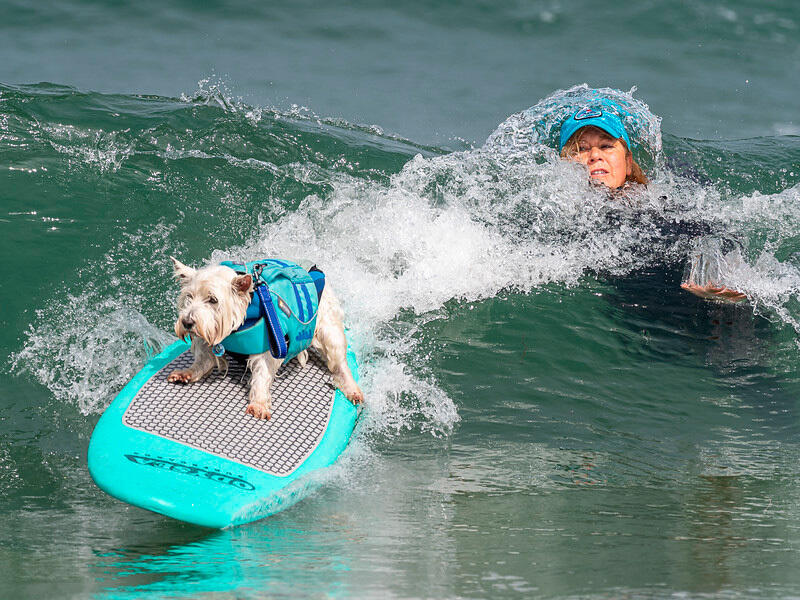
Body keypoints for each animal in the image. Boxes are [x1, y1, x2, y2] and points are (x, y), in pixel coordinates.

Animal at [170, 258, 368, 422]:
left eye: (213, 300)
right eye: (189, 297)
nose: (187, 322)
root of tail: (313, 271)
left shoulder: (268, 344)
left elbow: (262, 374)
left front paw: (258, 404)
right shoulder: (209, 334)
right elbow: (204, 360)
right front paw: (187, 372)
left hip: (327, 322)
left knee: (338, 357)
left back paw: (352, 388)